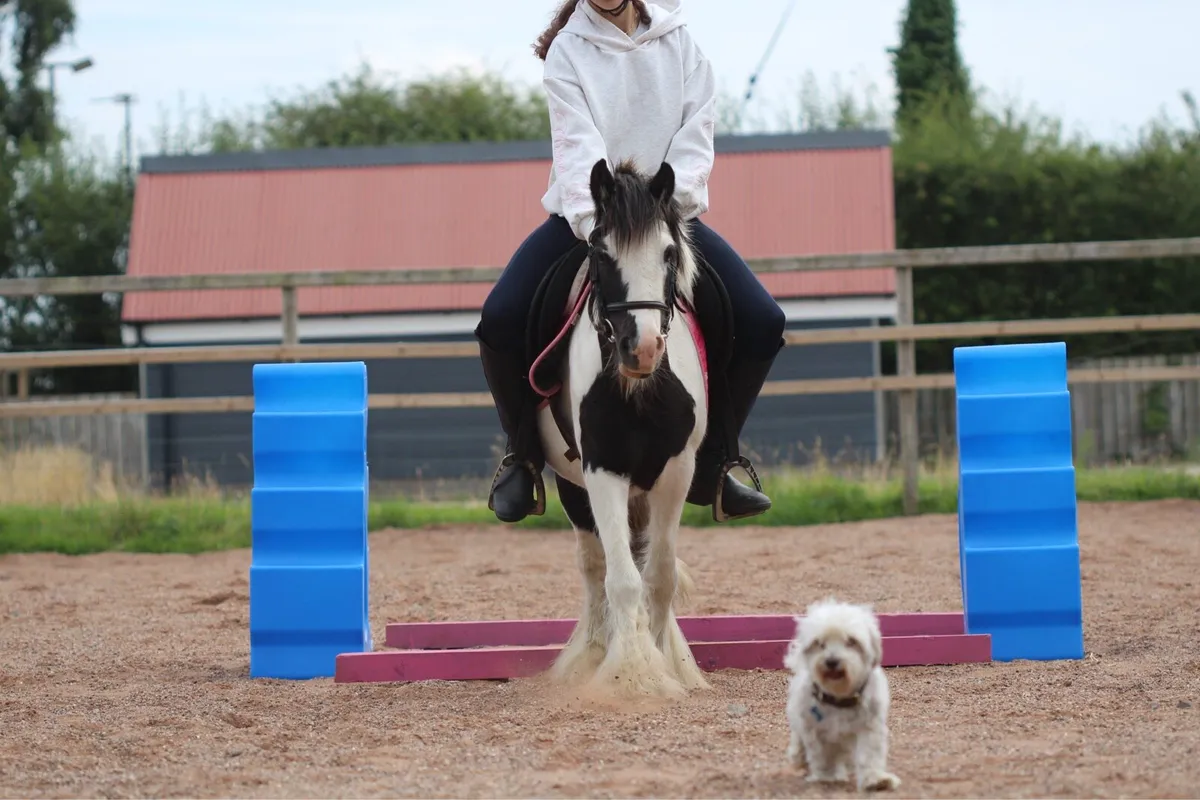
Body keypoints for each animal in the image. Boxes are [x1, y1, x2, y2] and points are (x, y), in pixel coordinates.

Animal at [525, 157, 712, 700]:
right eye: (600, 253)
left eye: (668, 252)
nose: (642, 349)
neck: (640, 390)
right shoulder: (602, 469)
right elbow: (621, 579)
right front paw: (630, 675)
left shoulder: (676, 472)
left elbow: (660, 576)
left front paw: (667, 664)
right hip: (573, 487)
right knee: (595, 567)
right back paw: (591, 654)